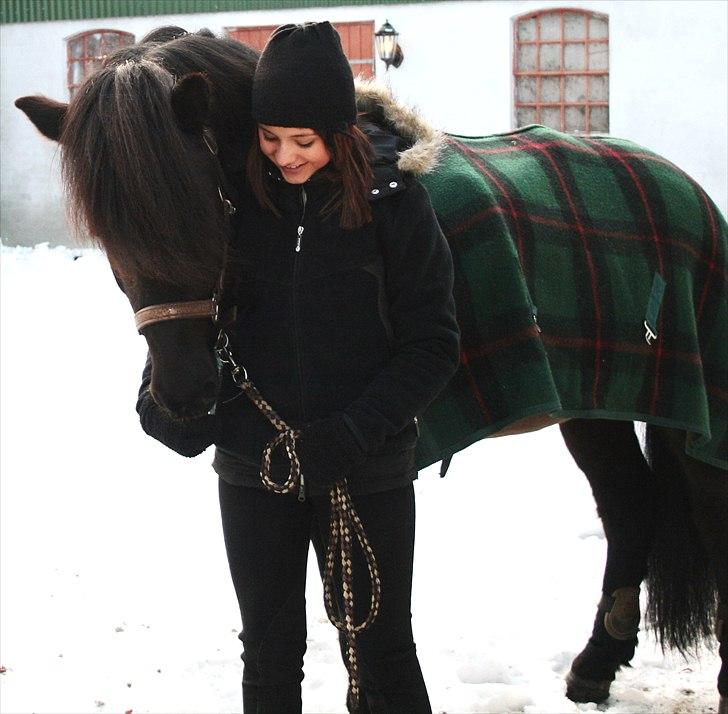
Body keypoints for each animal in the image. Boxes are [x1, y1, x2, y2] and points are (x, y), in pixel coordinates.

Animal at [14, 26, 724, 708]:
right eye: (106, 231)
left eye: (205, 207)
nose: (183, 399)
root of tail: (689, 191)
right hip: (594, 406)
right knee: (630, 504)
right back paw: (594, 667)